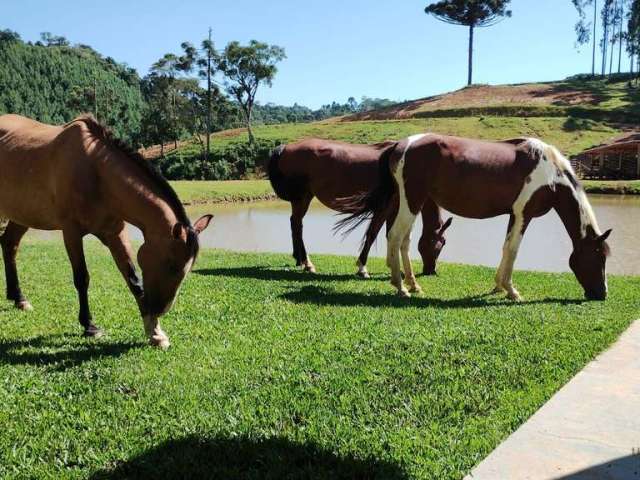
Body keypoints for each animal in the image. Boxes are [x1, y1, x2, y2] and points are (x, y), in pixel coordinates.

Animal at [0, 116, 215, 348]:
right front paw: (90, 326)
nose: (159, 309)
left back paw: (19, 298)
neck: (97, 174)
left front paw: (155, 332)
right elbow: (82, 278)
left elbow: (133, 279)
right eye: (171, 265)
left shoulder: (115, 234)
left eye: (187, 269)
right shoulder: (71, 232)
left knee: (9, 245)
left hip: (22, 215)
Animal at [268, 137, 452, 278]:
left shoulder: (393, 211)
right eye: (441, 243)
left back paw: (299, 259)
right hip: (302, 197)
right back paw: (307, 263)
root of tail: (286, 147)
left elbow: (390, 235)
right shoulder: (383, 209)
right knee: (297, 225)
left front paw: (394, 268)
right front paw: (362, 268)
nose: (431, 271)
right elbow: (372, 234)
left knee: (295, 223)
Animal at [338, 133, 612, 302]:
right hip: (411, 202)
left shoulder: (514, 215)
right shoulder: (524, 214)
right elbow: (513, 250)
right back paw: (401, 287)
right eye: (599, 257)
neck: (551, 175)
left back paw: (414, 284)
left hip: (409, 202)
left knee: (403, 241)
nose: (602, 294)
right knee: (395, 237)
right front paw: (512, 291)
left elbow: (506, 248)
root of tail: (400, 144)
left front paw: (499, 286)